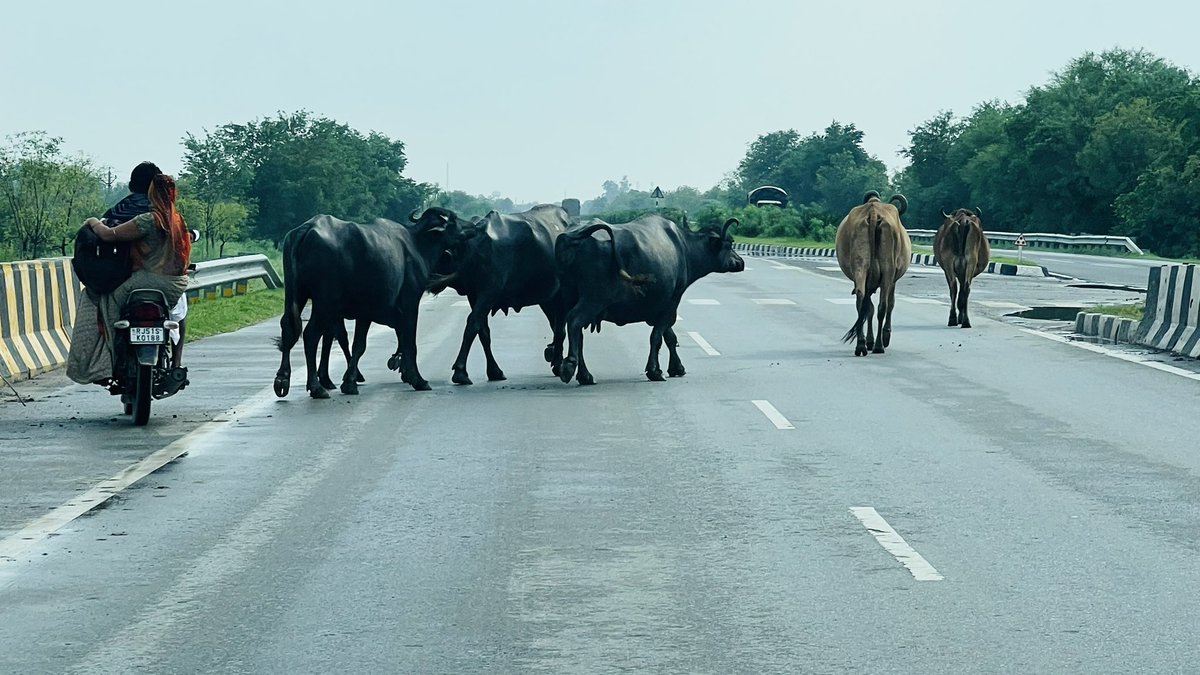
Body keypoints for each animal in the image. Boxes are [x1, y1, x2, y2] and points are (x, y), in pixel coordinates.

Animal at [273, 208, 466, 399]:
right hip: (325, 303)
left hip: (296, 294)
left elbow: (359, 344)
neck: (417, 245)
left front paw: (350, 381)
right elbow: (408, 342)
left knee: (289, 329)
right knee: (311, 334)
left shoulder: (365, 314)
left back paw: (283, 380)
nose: (470, 227)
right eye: (454, 220)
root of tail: (307, 228)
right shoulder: (409, 304)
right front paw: (417, 379)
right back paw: (316, 387)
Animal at [427, 204, 572, 385]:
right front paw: (493, 370)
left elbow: (474, 326)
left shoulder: (488, 293)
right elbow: (483, 331)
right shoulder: (475, 295)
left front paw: (461, 371)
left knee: (558, 327)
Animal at [554, 214, 745, 385]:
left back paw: (585, 376)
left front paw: (676, 367)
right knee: (574, 321)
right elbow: (657, 337)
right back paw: (569, 366)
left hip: (569, 296)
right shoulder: (671, 303)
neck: (683, 248)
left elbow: (670, 336)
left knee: (578, 334)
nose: (741, 262)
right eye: (729, 245)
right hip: (594, 299)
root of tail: (574, 236)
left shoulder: (660, 307)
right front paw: (655, 371)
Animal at [835, 191, 912, 356]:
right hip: (888, 271)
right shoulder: (893, 280)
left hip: (860, 267)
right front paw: (884, 336)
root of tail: (873, 212)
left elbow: (868, 308)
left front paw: (868, 341)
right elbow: (889, 304)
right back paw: (878, 345)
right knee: (883, 305)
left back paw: (861, 345)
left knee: (861, 299)